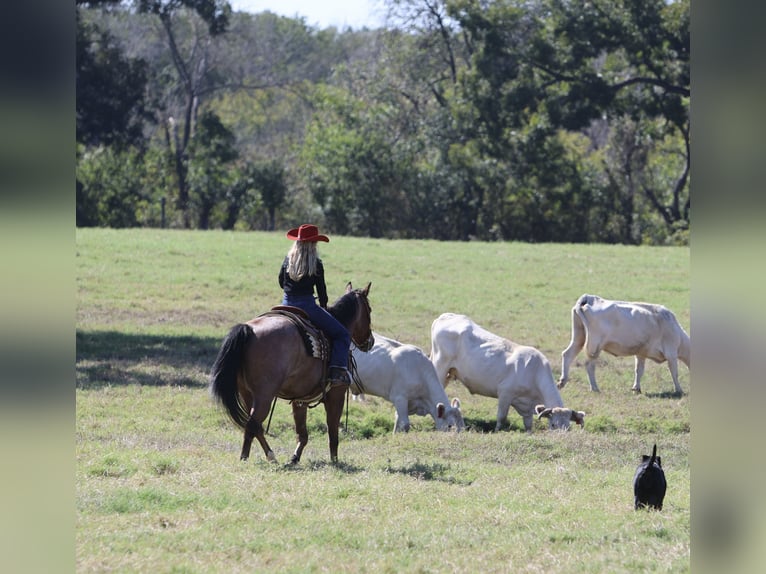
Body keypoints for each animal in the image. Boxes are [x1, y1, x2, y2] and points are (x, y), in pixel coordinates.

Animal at [209, 282, 374, 465]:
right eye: (369, 310)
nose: (370, 341)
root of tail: (249, 329)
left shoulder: (300, 399)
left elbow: (302, 433)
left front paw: (295, 458)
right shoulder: (336, 394)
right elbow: (332, 432)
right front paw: (334, 461)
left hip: (246, 393)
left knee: (255, 426)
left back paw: (270, 456)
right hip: (264, 395)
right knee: (253, 424)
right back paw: (246, 458)